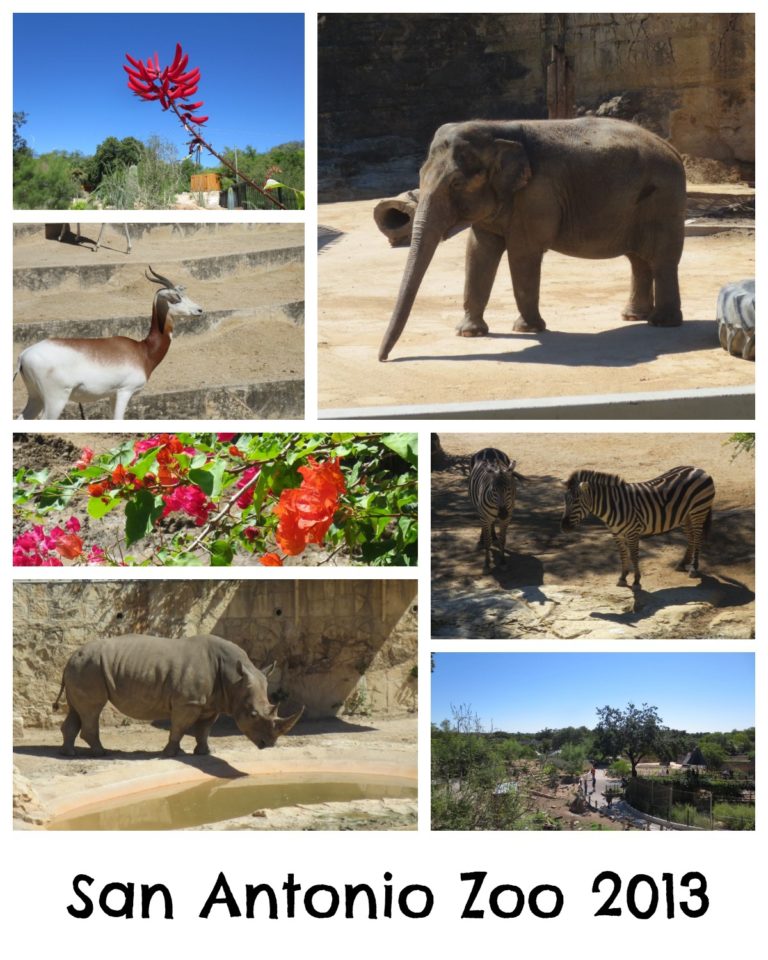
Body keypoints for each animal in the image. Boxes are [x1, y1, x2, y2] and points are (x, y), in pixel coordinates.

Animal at [15, 268, 201, 422]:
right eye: (176, 298)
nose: (199, 310)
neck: (143, 351)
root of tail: (24, 355)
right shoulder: (125, 391)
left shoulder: (113, 395)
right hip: (56, 400)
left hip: (35, 397)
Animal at [378, 116, 684, 362]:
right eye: (420, 175)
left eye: (456, 184)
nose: (383, 359)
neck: (497, 131)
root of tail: (672, 149)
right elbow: (478, 252)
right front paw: (468, 333)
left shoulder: (536, 195)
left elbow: (522, 254)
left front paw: (527, 329)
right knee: (638, 260)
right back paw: (633, 317)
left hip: (664, 200)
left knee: (662, 260)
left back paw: (661, 323)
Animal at [560, 464, 712, 588]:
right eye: (565, 500)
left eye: (577, 501)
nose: (564, 527)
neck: (615, 505)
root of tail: (698, 469)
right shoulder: (616, 533)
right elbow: (622, 555)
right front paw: (622, 578)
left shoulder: (633, 532)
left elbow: (634, 555)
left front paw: (636, 580)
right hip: (685, 515)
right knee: (691, 537)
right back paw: (682, 564)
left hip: (699, 510)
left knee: (697, 538)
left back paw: (693, 568)